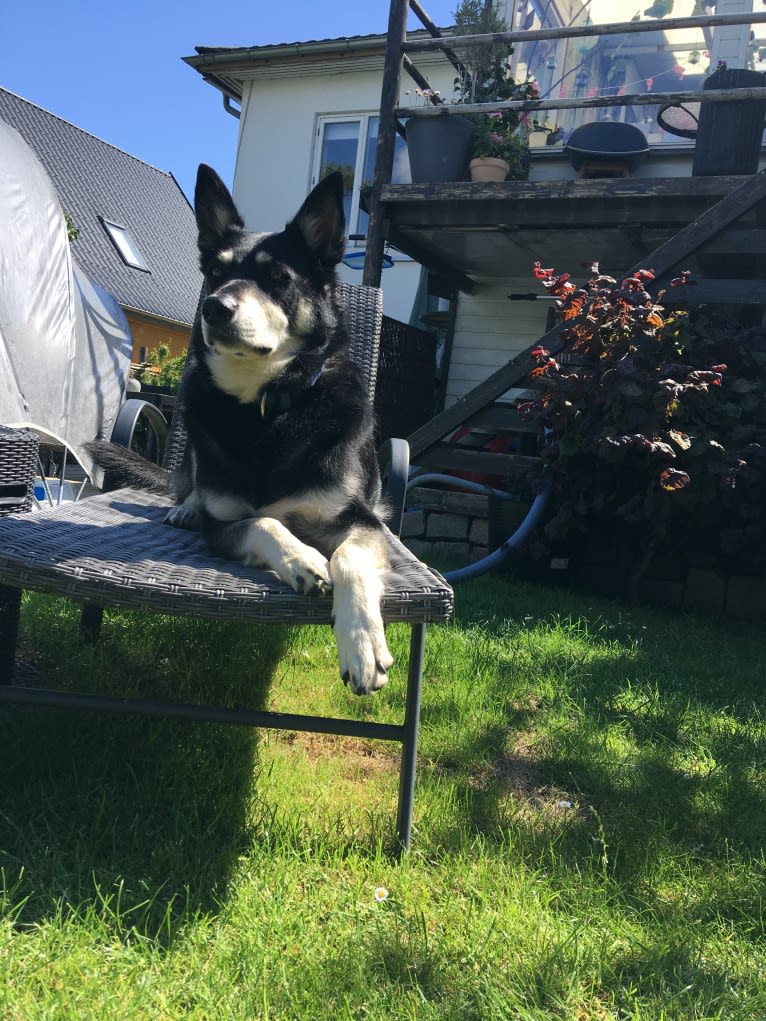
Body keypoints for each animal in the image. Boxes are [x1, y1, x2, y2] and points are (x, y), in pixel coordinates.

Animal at [94, 165, 396, 694]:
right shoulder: (222, 526)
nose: (214, 307)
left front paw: (362, 646)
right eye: (215, 273)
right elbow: (263, 521)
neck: (265, 407)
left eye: (276, 276)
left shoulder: (363, 522)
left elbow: (351, 559)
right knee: (190, 484)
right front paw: (301, 559)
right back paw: (184, 509)